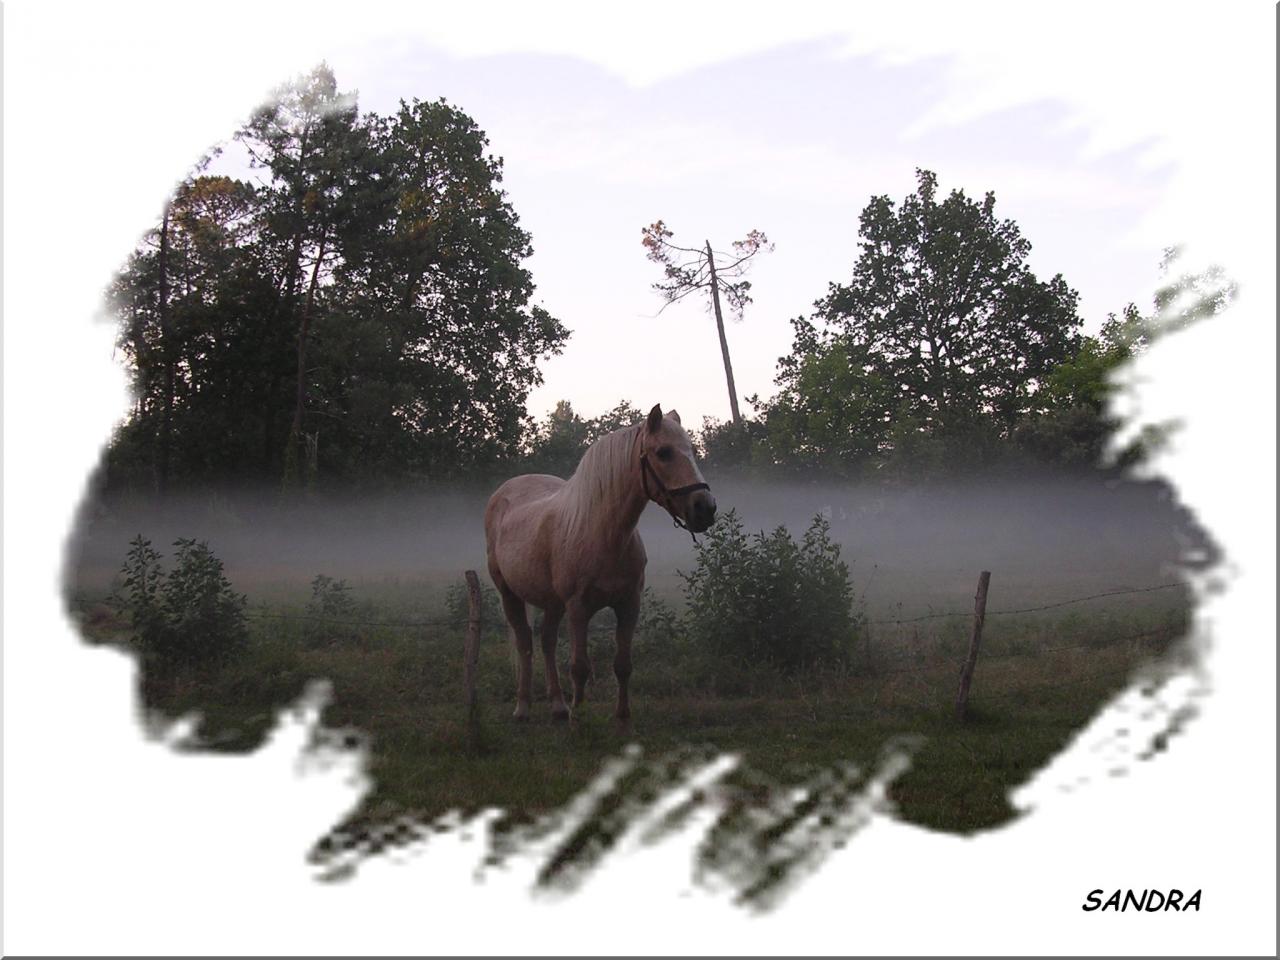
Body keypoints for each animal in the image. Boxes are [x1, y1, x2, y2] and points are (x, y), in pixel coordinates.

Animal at [481, 404, 716, 721]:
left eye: (690, 450)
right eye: (663, 452)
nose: (705, 509)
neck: (603, 535)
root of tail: (503, 493)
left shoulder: (628, 605)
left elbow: (623, 665)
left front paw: (622, 718)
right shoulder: (578, 609)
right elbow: (580, 668)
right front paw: (579, 719)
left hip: (552, 603)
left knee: (547, 642)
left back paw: (558, 706)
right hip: (510, 595)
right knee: (525, 644)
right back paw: (523, 708)